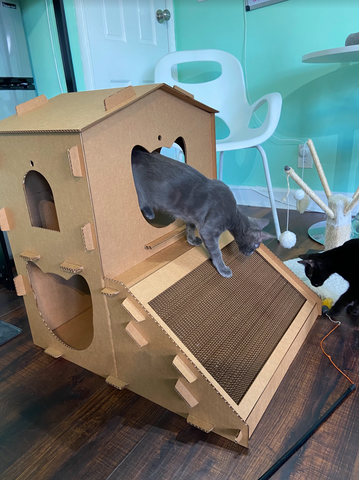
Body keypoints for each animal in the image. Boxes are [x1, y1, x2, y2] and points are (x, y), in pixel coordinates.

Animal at [132, 146, 276, 278]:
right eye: (256, 245)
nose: (250, 253)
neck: (233, 215)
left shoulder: (192, 217)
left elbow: (190, 228)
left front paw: (191, 240)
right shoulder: (208, 231)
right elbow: (217, 252)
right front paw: (222, 268)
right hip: (141, 190)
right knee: (141, 200)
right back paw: (149, 212)